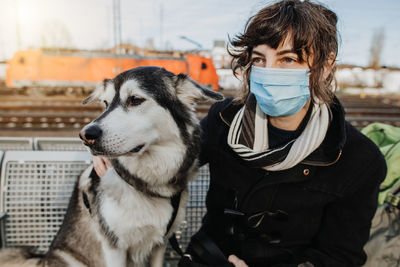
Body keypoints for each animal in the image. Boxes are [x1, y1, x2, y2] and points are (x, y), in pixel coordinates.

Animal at [0, 66, 222, 266]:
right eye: (105, 103)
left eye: (135, 100)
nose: (85, 135)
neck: (147, 184)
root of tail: (42, 258)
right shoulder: (114, 247)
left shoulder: (160, 244)